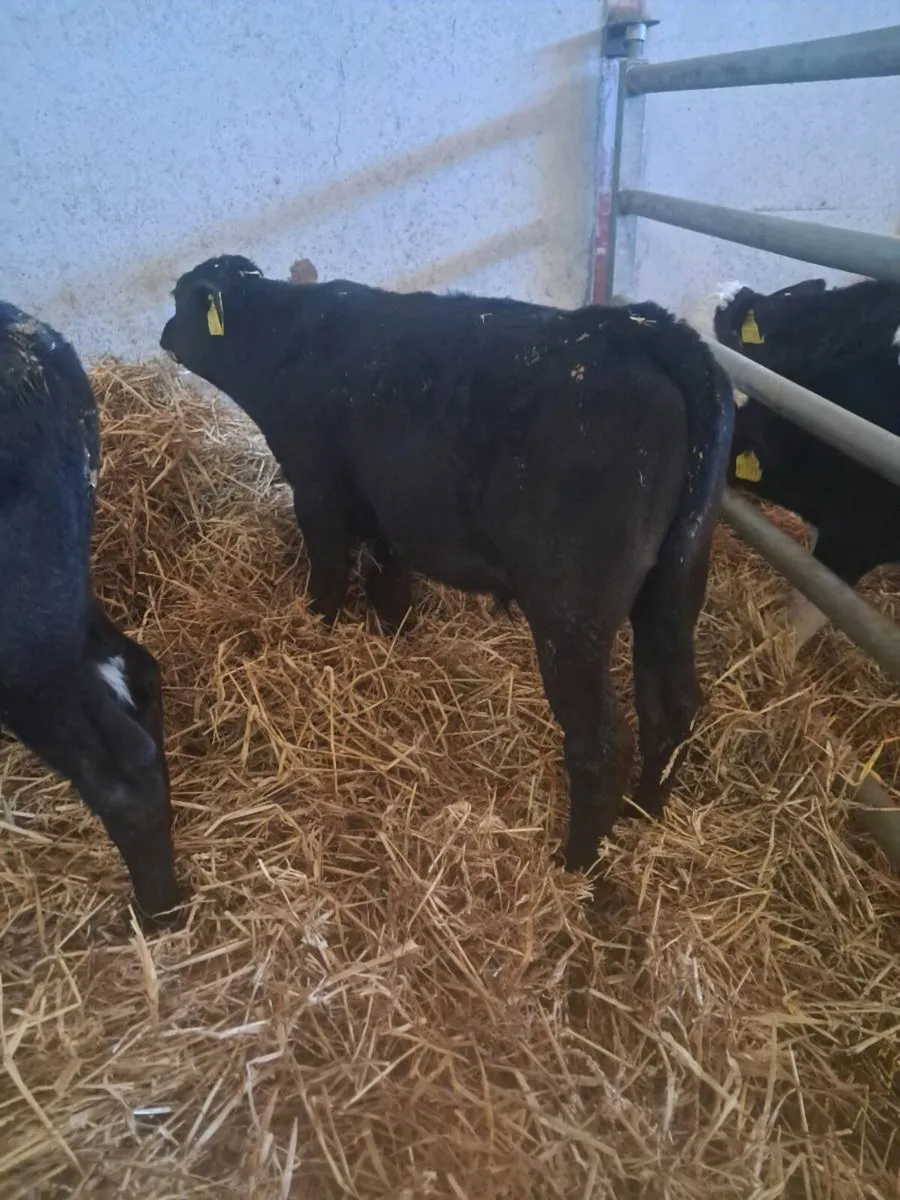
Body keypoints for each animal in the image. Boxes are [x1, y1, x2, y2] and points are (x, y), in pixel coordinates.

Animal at [161, 256, 734, 872]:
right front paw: (393, 642)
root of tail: (640, 328)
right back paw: (644, 810)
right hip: (674, 586)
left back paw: (575, 863)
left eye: (178, 300)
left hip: (571, 607)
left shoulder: (317, 494)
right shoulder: (390, 513)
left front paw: (314, 631)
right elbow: (388, 585)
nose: (164, 334)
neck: (285, 340)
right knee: (672, 705)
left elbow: (329, 578)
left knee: (602, 745)